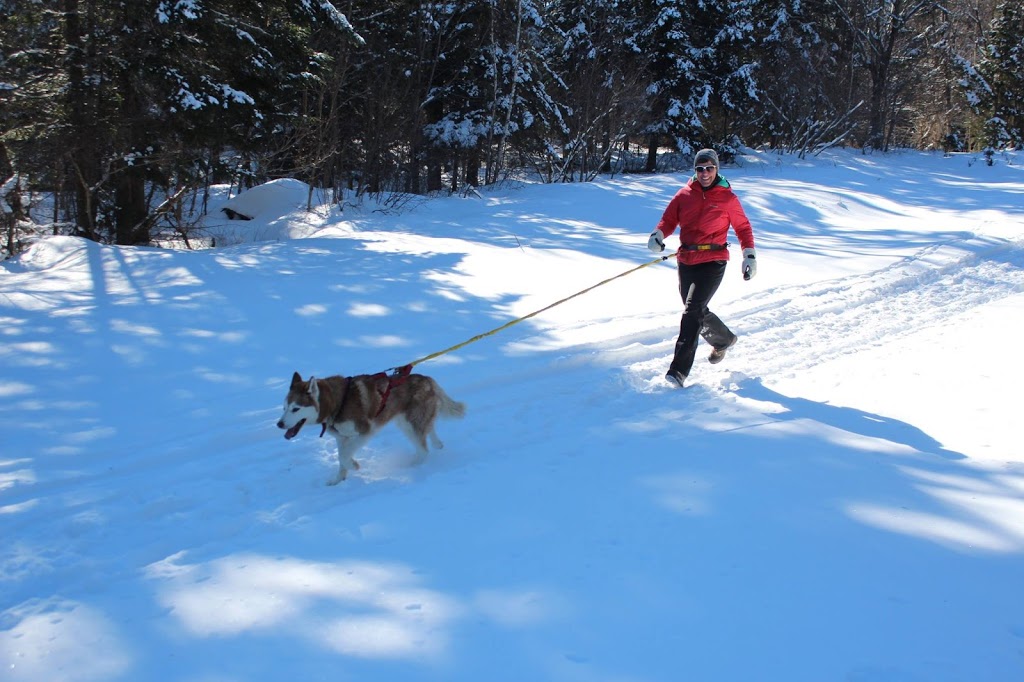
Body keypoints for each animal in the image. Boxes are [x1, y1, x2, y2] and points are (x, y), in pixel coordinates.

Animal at [272, 366, 464, 483]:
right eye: (284, 407)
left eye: (295, 409)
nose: (279, 424)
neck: (337, 403)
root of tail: (427, 379)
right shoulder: (341, 437)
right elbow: (341, 457)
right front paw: (338, 480)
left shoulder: (365, 431)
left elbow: (344, 456)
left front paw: (354, 465)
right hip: (405, 422)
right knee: (428, 429)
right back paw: (437, 443)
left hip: (410, 424)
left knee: (423, 449)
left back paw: (412, 467)